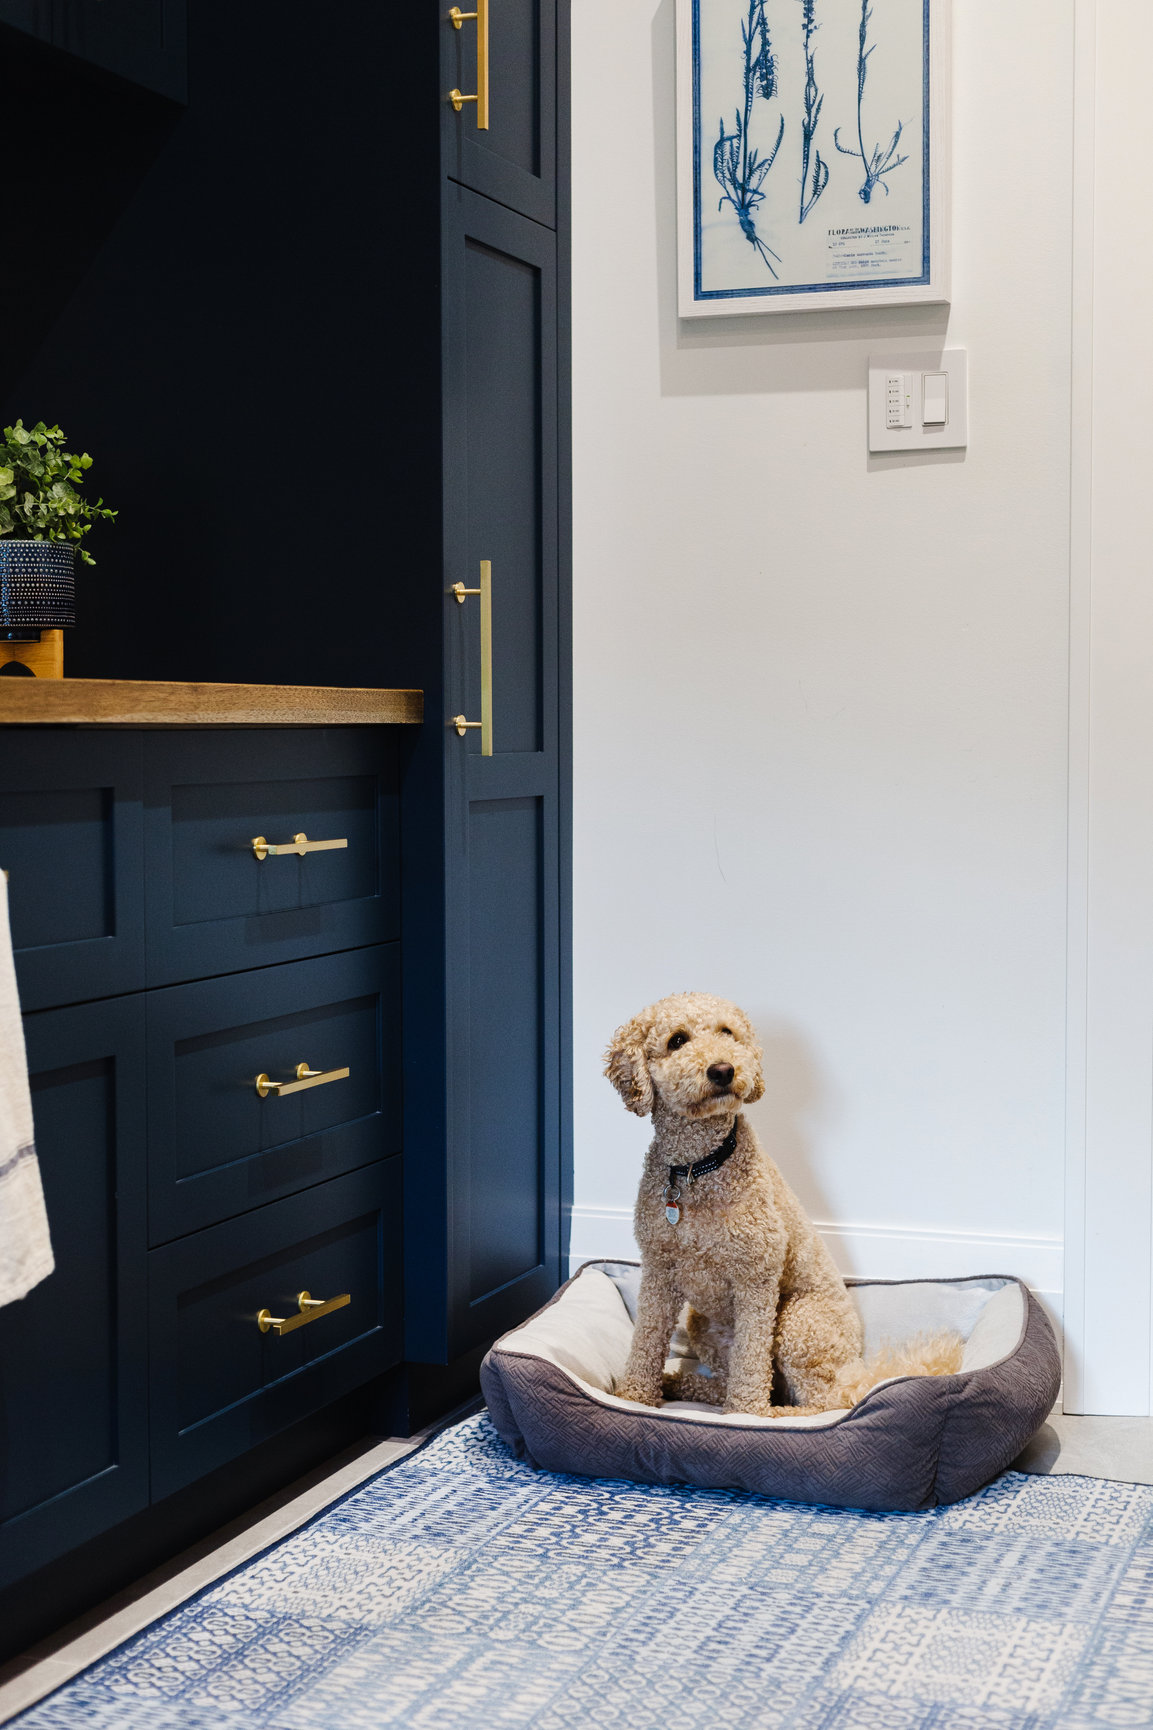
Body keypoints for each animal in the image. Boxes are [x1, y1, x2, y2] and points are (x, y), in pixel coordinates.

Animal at [605, 996, 955, 1411]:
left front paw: (745, 1414)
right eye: (677, 1040)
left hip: (798, 1323)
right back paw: (683, 1384)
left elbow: (751, 1359)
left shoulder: (756, 1277)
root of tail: (858, 1369)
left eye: (728, 1032)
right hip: (704, 1325)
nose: (723, 1070)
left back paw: (771, 1414)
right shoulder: (659, 1270)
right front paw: (634, 1396)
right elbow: (646, 1339)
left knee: (825, 1403)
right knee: (742, 1384)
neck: (699, 1167)